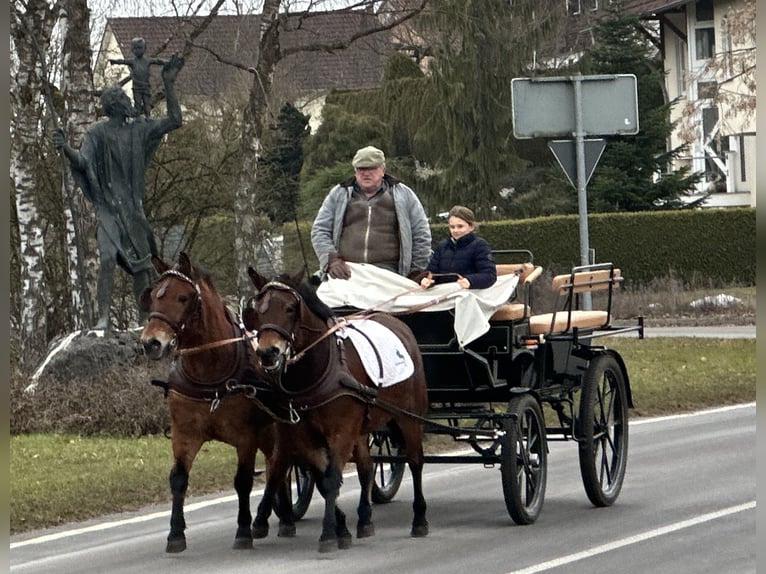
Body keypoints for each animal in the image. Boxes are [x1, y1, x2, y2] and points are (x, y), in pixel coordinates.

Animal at [139, 254, 292, 556]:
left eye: (183, 297)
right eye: (153, 296)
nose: (151, 342)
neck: (209, 371)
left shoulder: (246, 436)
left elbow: (243, 481)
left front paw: (243, 530)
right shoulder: (184, 434)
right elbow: (178, 479)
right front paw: (175, 534)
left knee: (278, 465)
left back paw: (275, 518)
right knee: (276, 466)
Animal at [243, 268, 428, 552]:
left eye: (289, 308)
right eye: (258, 310)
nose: (267, 352)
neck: (317, 370)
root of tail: (397, 323)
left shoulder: (340, 431)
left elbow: (330, 479)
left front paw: (329, 533)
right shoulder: (303, 434)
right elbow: (320, 476)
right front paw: (342, 528)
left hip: (408, 416)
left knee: (415, 461)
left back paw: (419, 519)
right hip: (361, 428)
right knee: (366, 466)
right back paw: (364, 519)